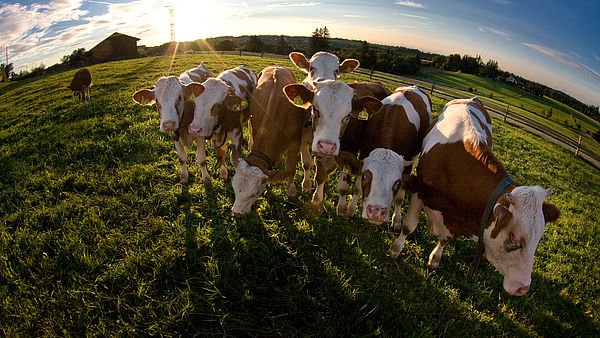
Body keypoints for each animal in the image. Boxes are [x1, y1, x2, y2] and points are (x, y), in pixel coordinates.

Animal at [231, 66, 314, 217]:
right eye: (234, 186)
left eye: (254, 194)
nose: (236, 213)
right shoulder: (258, 129)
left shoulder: (295, 142)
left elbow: (291, 168)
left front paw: (291, 191)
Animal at [386, 97, 560, 296]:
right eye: (514, 237)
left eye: (538, 238)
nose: (523, 287)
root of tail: (471, 98)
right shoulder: (419, 191)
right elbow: (409, 226)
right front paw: (395, 250)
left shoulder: (455, 221)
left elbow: (445, 239)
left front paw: (435, 259)